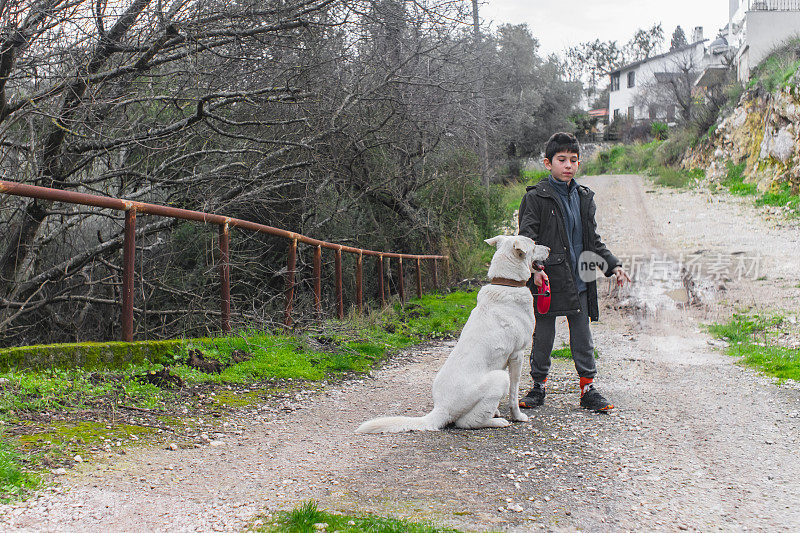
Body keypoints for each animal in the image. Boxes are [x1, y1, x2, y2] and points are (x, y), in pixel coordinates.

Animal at [356, 236, 552, 432]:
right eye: (534, 244)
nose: (550, 249)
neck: (507, 283)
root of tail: (441, 408)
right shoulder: (517, 355)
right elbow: (514, 393)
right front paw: (517, 416)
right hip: (499, 378)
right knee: (466, 422)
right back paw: (496, 421)